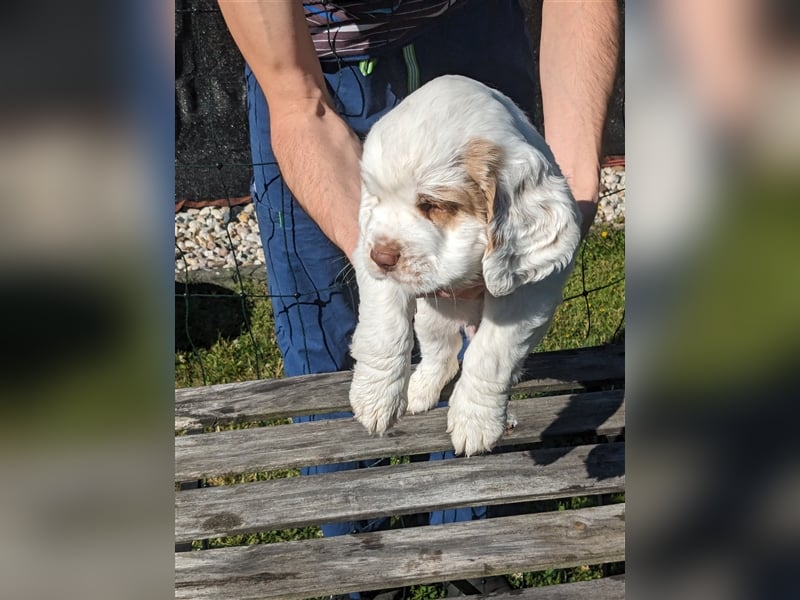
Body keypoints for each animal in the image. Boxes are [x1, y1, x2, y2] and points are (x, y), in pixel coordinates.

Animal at [350, 77, 580, 458]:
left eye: (433, 204)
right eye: (375, 197)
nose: (381, 257)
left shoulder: (528, 292)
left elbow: (490, 354)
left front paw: (475, 422)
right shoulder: (370, 260)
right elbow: (383, 330)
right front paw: (375, 399)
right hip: (431, 320)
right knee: (440, 352)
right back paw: (419, 389)